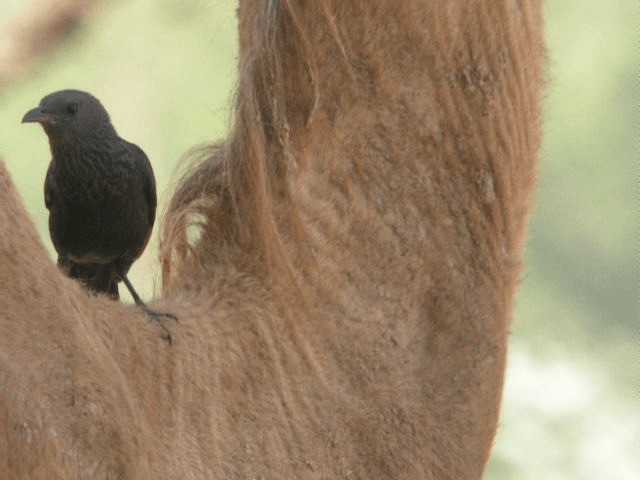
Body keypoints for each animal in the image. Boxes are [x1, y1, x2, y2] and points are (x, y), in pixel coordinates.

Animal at [0, 1, 544, 478]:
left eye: (69, 107)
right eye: (48, 106)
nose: (32, 113)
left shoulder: (131, 212)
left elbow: (131, 284)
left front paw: (152, 314)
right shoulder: (70, 233)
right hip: (76, 258)